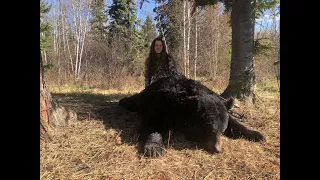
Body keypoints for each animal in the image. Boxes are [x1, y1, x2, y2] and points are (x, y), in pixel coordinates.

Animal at [119, 76, 264, 158]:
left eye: (222, 131)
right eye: (209, 130)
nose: (218, 150)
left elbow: (233, 122)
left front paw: (255, 134)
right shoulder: (162, 105)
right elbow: (152, 123)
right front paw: (153, 147)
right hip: (143, 99)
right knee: (133, 101)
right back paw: (122, 101)